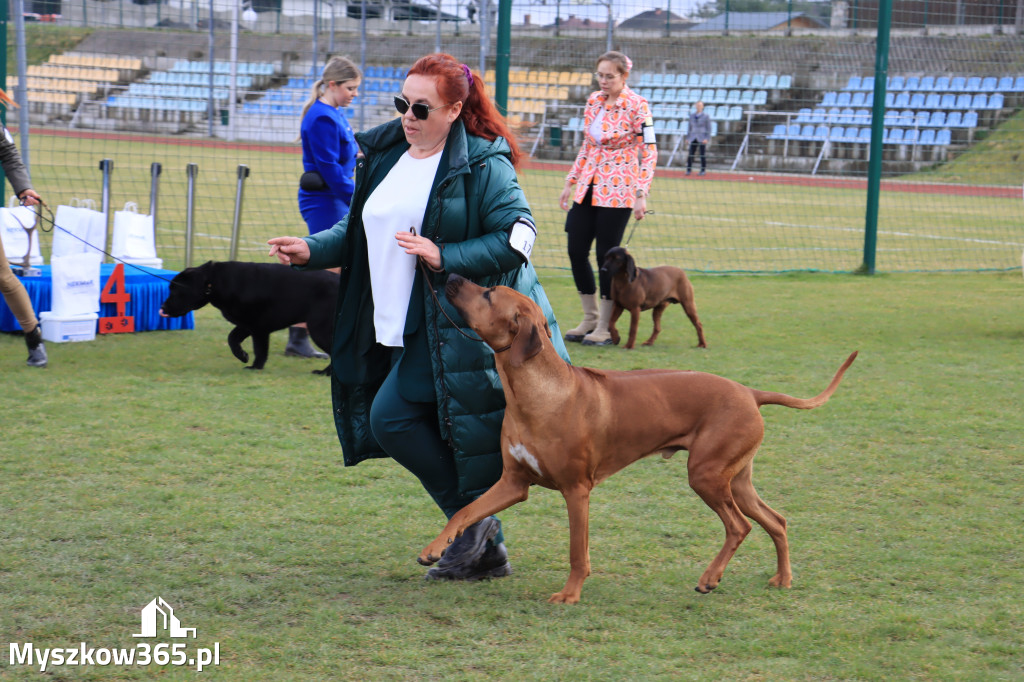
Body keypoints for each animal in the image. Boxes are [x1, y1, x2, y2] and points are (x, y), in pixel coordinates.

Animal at [157, 260, 337, 372]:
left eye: (176, 290)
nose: (163, 307)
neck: (216, 282)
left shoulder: (259, 328)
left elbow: (260, 350)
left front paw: (255, 367)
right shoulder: (246, 324)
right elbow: (232, 339)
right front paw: (243, 356)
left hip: (318, 327)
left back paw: (324, 373)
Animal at [415, 274, 856, 602]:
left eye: (489, 293)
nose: (451, 275)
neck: (537, 392)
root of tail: (749, 392)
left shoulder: (577, 490)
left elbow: (577, 552)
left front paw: (570, 594)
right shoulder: (513, 482)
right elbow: (465, 511)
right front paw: (433, 549)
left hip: (706, 474)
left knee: (739, 527)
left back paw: (710, 578)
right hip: (736, 478)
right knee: (776, 521)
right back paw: (783, 579)